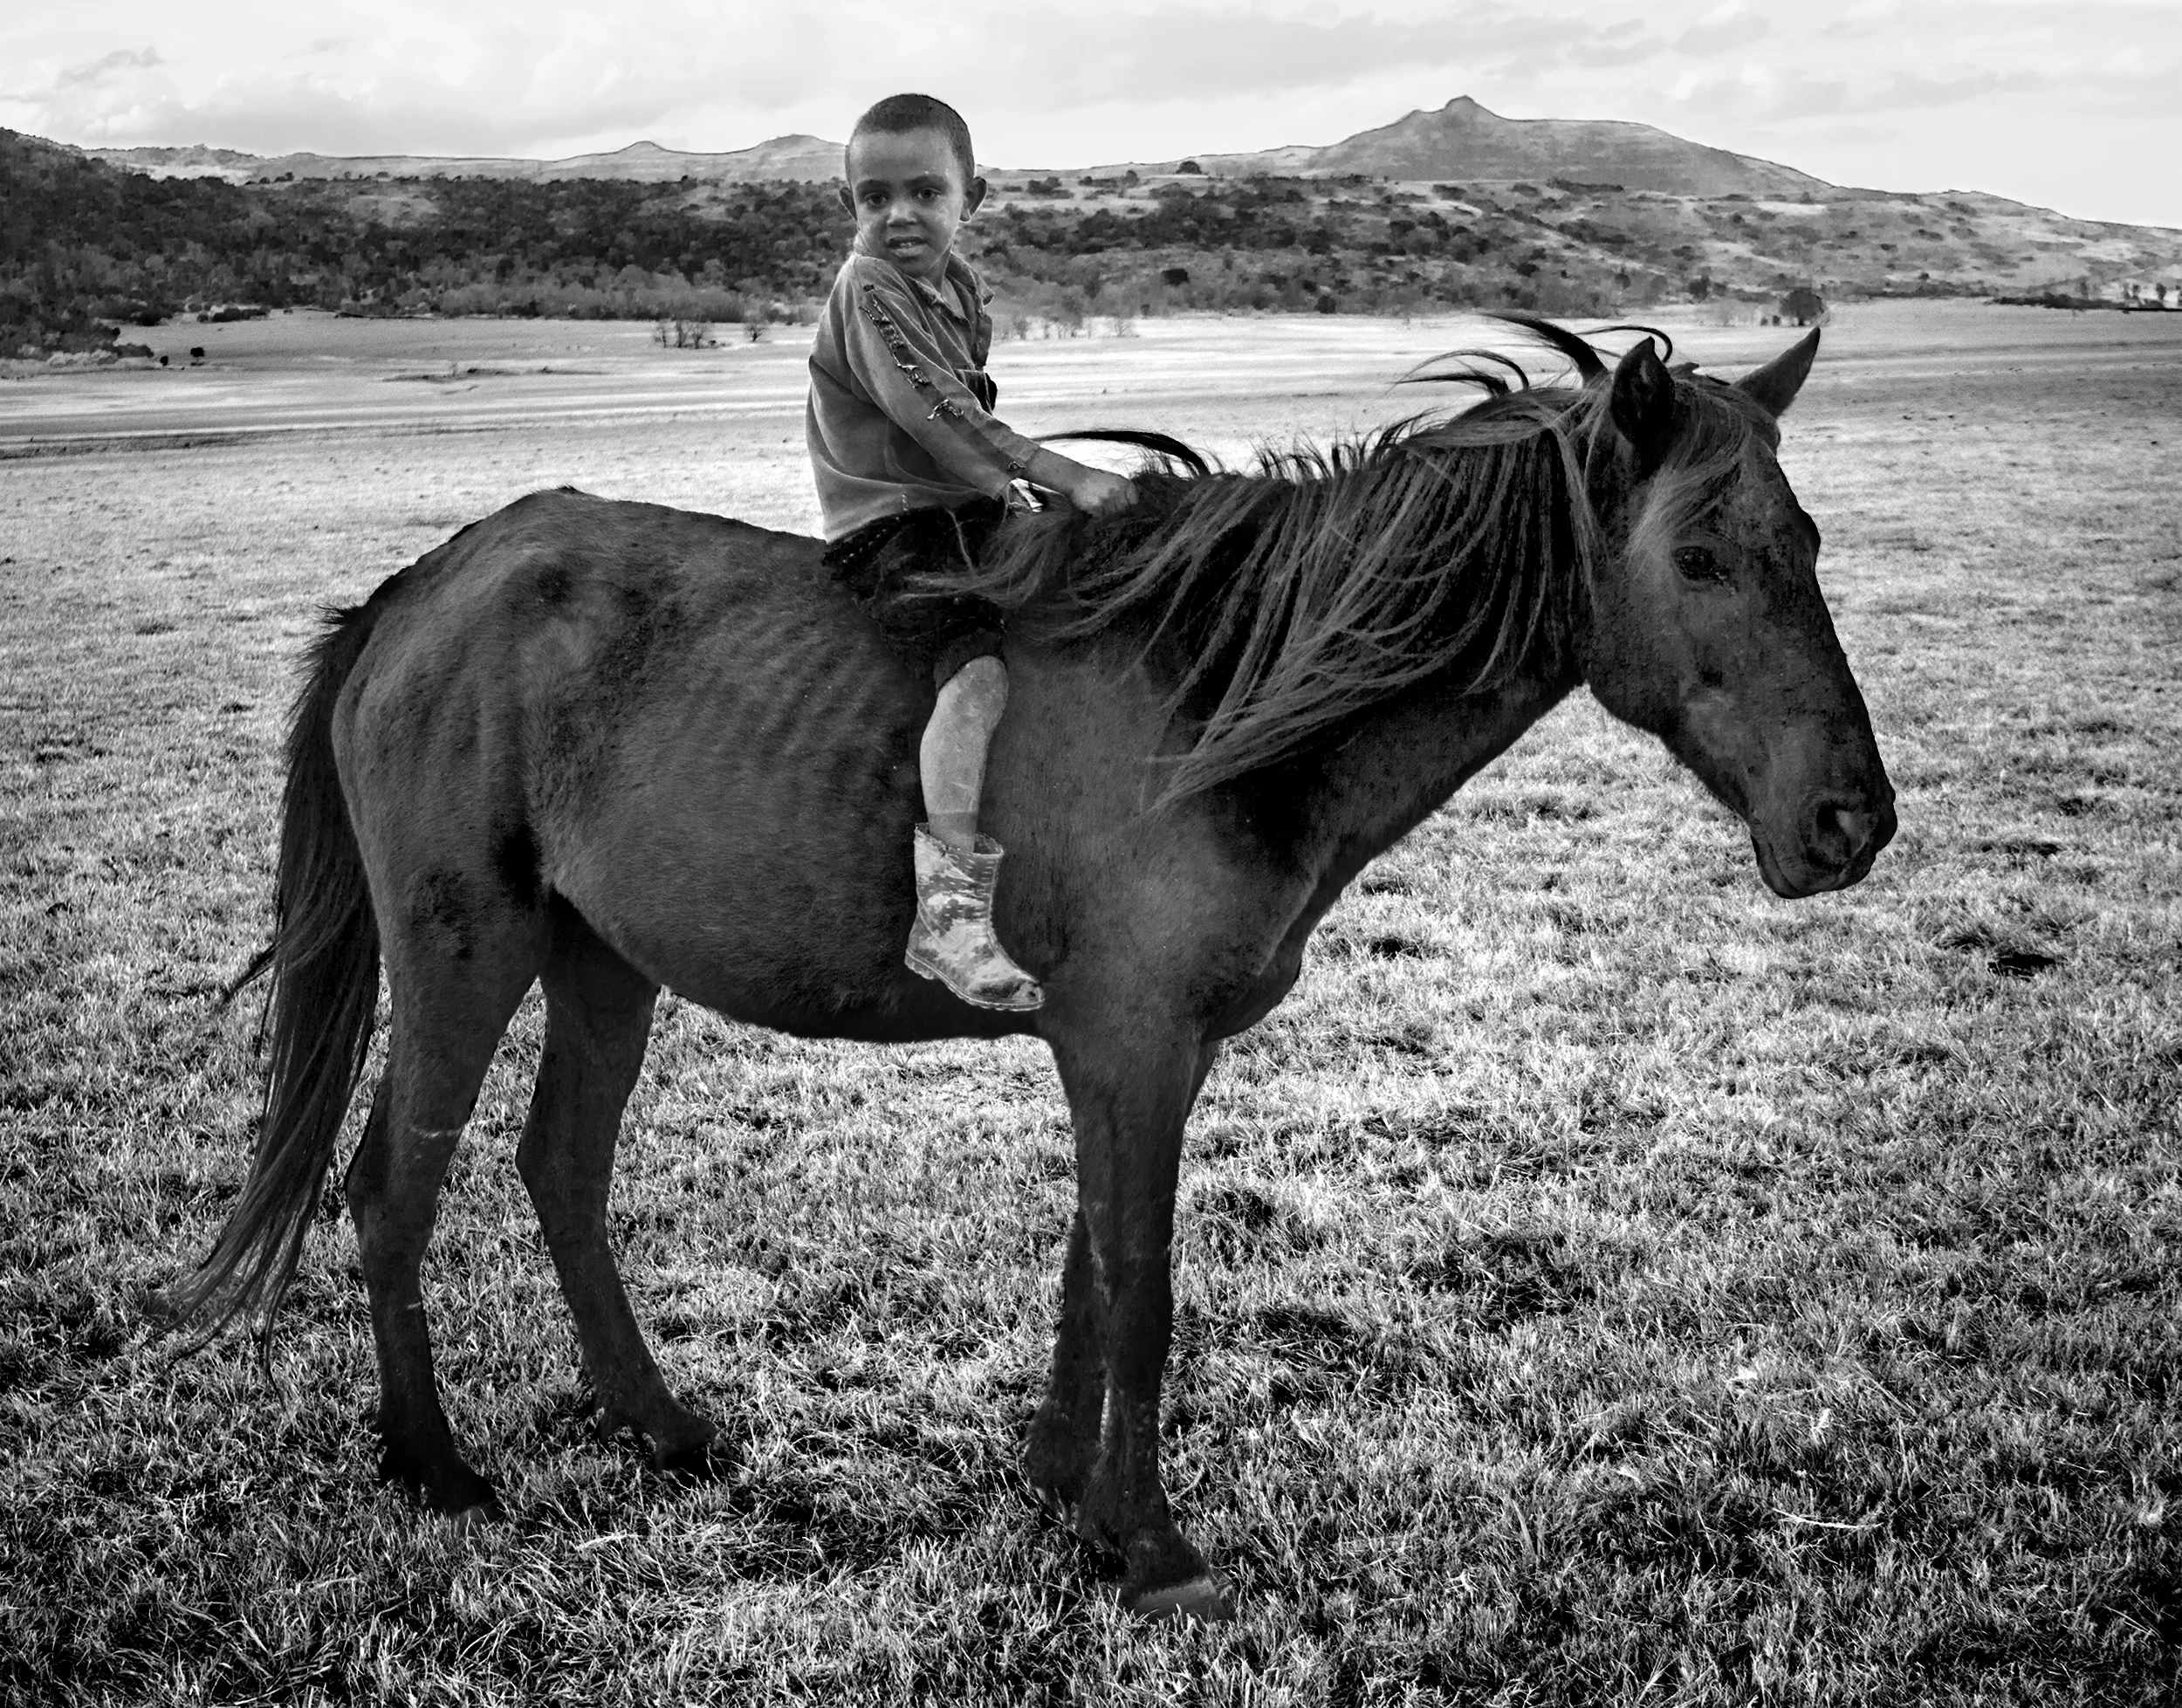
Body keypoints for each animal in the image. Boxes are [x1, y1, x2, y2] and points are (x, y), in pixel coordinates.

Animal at [174, 320, 1894, 1622]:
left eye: (1809, 542)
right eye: (1703, 553)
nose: (1850, 821)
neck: (1224, 703)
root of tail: (424, 586)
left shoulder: (1131, 1049)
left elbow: (1091, 1261)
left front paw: (1064, 1491)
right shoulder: (1131, 1040)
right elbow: (1142, 1277)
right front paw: (1150, 1544)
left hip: (602, 960)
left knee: (560, 1171)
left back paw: (658, 1428)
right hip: (463, 950)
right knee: (392, 1187)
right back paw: (436, 1467)